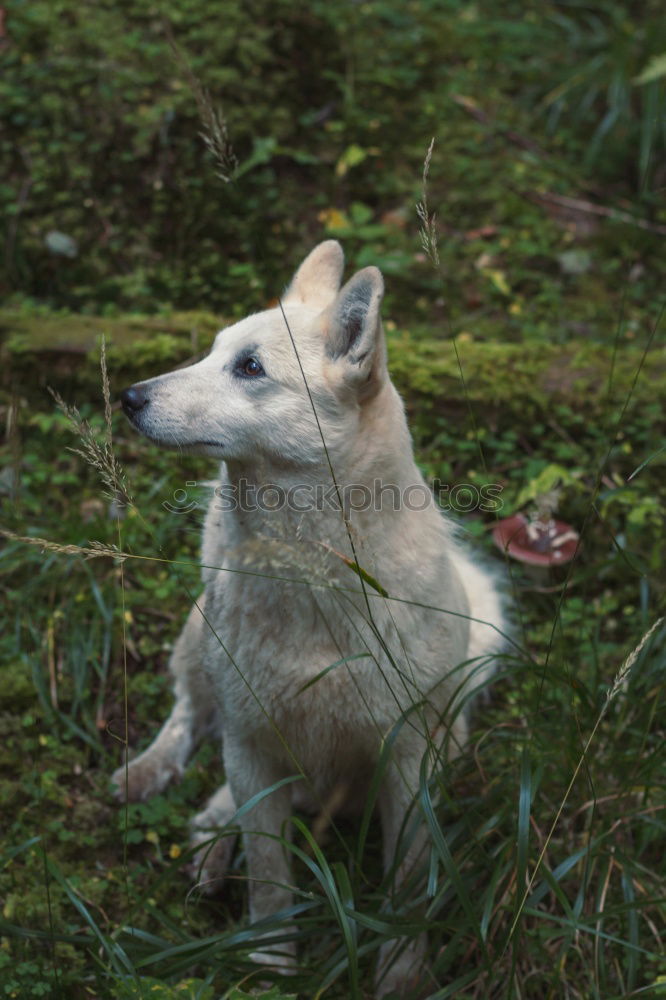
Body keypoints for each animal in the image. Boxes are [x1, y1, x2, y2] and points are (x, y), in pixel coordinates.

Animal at [113, 240, 504, 992]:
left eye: (249, 367)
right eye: (211, 352)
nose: (128, 397)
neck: (311, 579)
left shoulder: (408, 766)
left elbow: (406, 887)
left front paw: (400, 975)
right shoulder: (251, 746)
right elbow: (271, 880)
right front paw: (270, 965)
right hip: (199, 646)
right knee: (187, 717)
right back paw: (163, 788)